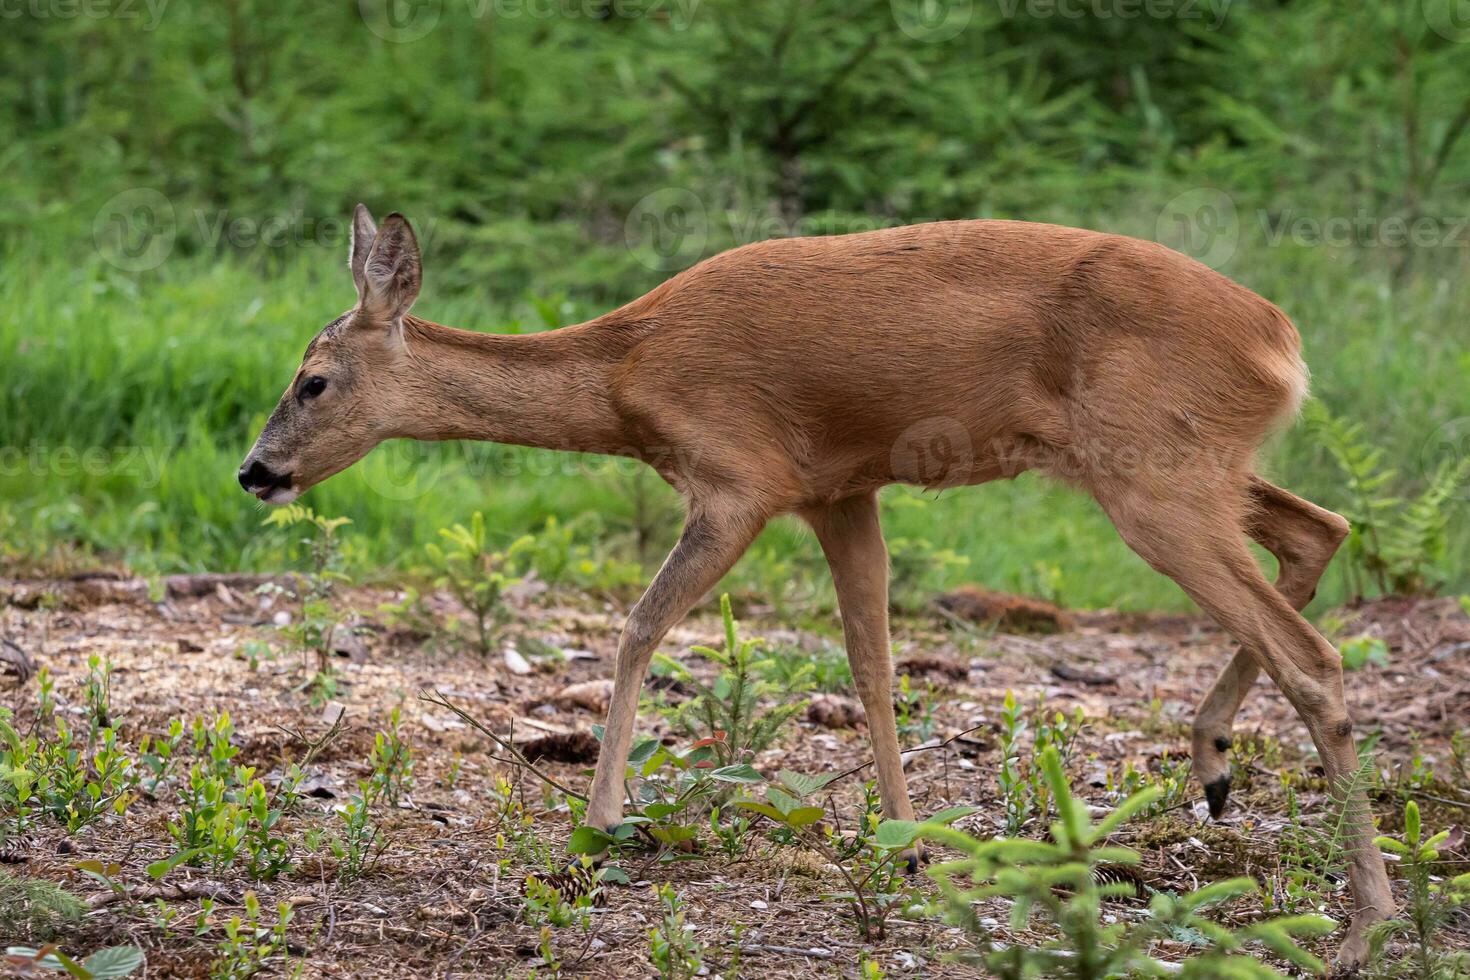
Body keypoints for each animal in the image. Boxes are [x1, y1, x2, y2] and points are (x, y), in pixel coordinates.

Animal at [238, 205, 1387, 963]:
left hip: (1155, 474)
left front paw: (606, 821)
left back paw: (1365, 918)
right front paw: (906, 841)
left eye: (314, 380)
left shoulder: (740, 479)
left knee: (1317, 651)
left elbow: (636, 630)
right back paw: (1215, 764)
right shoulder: (843, 488)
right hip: (1178, 467)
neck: (623, 375)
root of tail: (1280, 341)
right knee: (1322, 529)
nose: (255, 470)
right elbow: (873, 666)